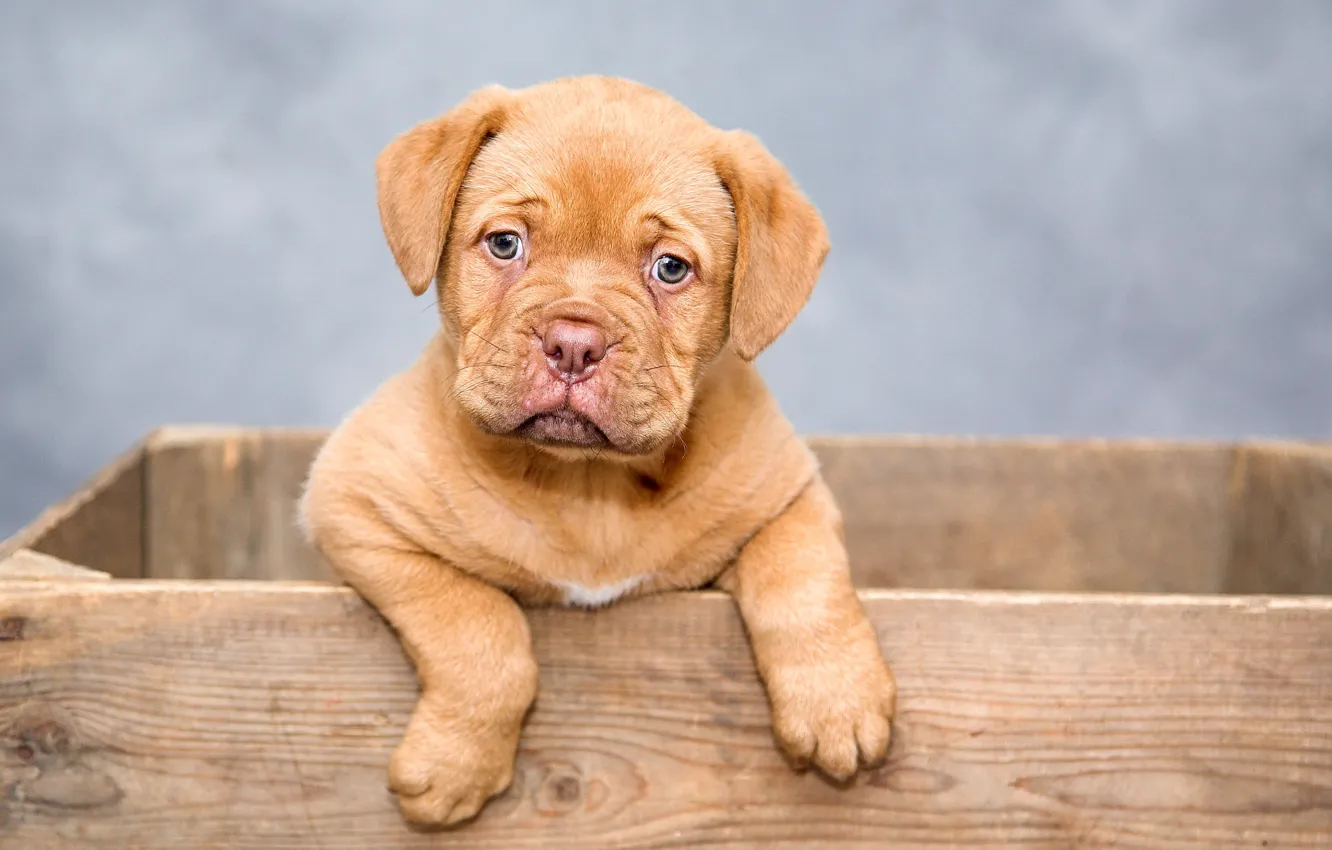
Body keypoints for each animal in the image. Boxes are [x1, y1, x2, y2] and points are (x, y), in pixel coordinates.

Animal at [302, 76, 895, 831]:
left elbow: (802, 577)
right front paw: (455, 765)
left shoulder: (788, 494)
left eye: (670, 268)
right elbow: (478, 628)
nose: (574, 343)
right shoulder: (354, 502)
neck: (588, 486)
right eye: (505, 244)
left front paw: (836, 702)